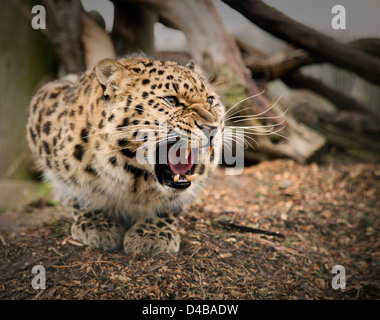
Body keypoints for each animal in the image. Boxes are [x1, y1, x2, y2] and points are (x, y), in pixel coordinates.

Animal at [26, 55, 226, 255]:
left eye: (210, 100)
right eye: (171, 100)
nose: (212, 128)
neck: (134, 176)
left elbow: (169, 203)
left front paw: (152, 232)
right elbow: (77, 190)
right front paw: (96, 223)